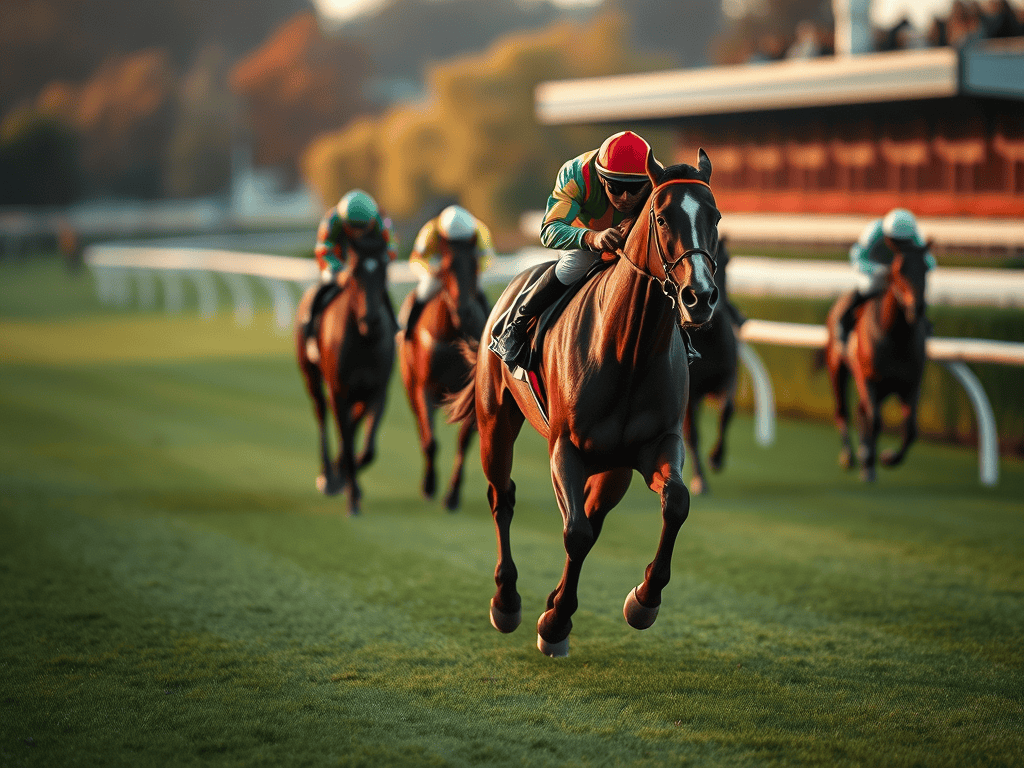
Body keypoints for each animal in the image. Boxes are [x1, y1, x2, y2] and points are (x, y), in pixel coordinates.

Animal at [295, 247, 397, 515]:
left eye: (384, 271)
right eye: (354, 274)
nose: (370, 320)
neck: (364, 341)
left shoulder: (377, 391)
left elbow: (366, 447)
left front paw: (349, 481)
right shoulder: (339, 390)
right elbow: (348, 439)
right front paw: (347, 492)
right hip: (311, 376)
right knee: (321, 412)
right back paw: (327, 476)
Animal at [397, 237, 489, 510]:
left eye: (475, 263)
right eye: (447, 266)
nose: (464, 311)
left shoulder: (473, 393)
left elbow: (463, 441)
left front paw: (452, 495)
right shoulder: (424, 388)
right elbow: (431, 440)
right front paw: (429, 485)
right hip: (409, 385)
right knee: (421, 428)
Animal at [447, 149, 720, 657]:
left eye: (713, 217)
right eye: (662, 216)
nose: (701, 298)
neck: (628, 350)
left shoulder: (657, 444)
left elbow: (675, 503)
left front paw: (643, 600)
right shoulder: (565, 448)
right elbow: (574, 532)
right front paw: (554, 624)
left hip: (612, 468)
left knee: (593, 514)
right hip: (496, 422)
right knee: (502, 497)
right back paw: (507, 600)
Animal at [823, 236, 930, 482]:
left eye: (926, 267)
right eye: (899, 269)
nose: (917, 308)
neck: (896, 336)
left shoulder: (911, 384)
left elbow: (911, 430)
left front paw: (888, 458)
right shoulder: (869, 379)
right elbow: (876, 421)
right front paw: (870, 460)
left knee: (861, 412)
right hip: (838, 368)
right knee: (843, 411)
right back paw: (850, 456)